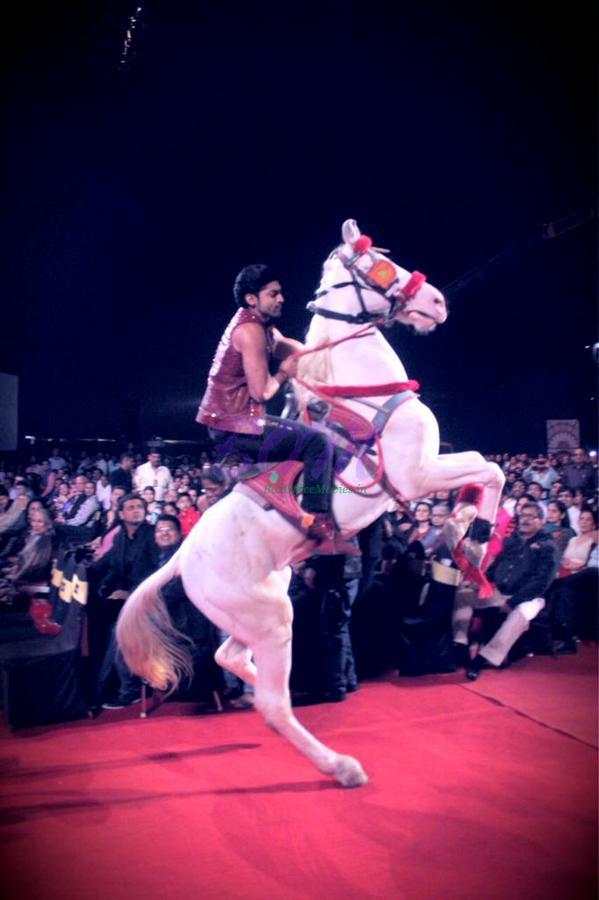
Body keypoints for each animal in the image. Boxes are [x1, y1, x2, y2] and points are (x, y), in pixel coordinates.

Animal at [115, 220, 504, 788]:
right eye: (380, 265)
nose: (437, 302)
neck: (366, 392)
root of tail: (182, 556)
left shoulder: (426, 469)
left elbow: (483, 467)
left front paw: (465, 530)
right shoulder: (415, 474)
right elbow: (489, 468)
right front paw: (473, 539)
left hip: (263, 605)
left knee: (230, 656)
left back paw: (259, 686)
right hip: (272, 618)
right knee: (273, 706)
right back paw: (340, 765)